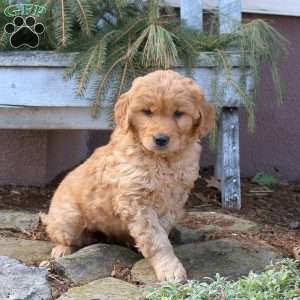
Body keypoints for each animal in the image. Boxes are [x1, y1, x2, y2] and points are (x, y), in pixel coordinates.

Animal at [42, 69, 216, 282]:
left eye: (178, 114)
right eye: (147, 112)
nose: (161, 139)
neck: (162, 160)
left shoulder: (174, 200)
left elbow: (161, 231)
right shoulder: (136, 201)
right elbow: (156, 239)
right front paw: (169, 268)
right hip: (69, 217)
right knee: (63, 236)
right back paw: (62, 250)